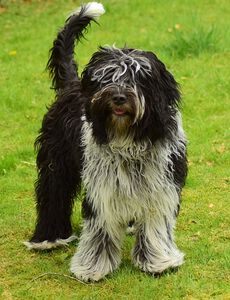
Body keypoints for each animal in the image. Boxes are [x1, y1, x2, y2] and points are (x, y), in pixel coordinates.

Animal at [24, 2, 188, 282]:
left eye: (138, 78)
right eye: (106, 78)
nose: (119, 97)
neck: (130, 140)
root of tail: (72, 84)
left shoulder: (161, 186)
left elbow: (155, 226)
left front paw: (158, 262)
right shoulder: (103, 188)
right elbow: (100, 228)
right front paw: (93, 267)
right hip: (57, 162)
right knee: (53, 193)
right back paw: (48, 239)